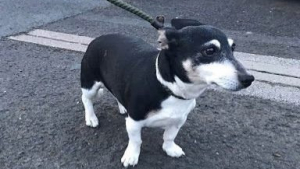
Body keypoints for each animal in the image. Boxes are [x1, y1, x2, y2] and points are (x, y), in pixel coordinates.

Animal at [79, 18, 253, 166]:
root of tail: (98, 38)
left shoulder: (178, 120)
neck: (170, 88)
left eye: (233, 48)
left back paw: (122, 107)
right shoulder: (134, 122)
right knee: (86, 99)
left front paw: (170, 149)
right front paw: (131, 156)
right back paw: (91, 118)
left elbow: (169, 137)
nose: (249, 79)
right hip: (90, 84)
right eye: (209, 50)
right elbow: (136, 141)